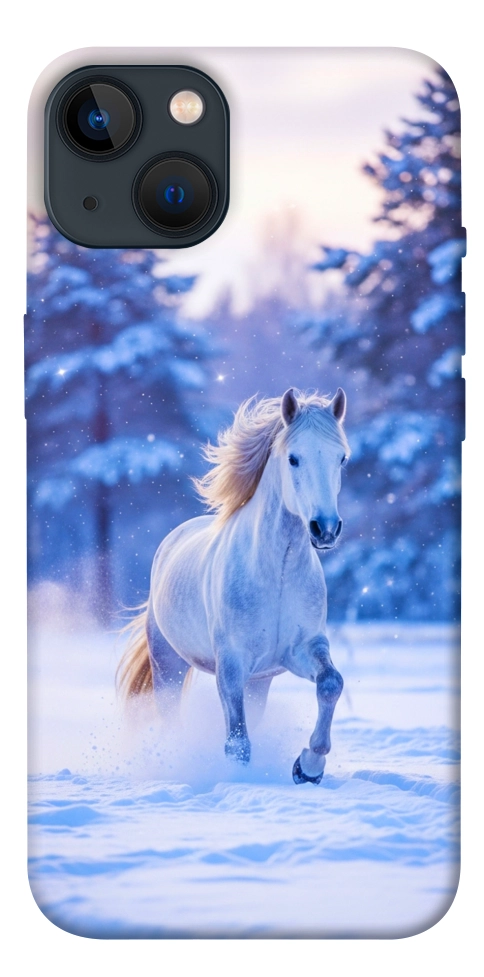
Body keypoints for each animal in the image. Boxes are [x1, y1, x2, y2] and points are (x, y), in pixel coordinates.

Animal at [118, 387, 350, 784]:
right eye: (294, 458)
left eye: (341, 459)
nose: (325, 529)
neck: (277, 573)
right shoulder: (231, 664)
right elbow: (237, 742)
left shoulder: (301, 649)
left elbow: (331, 683)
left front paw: (308, 767)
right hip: (168, 665)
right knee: (170, 717)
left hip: (259, 682)